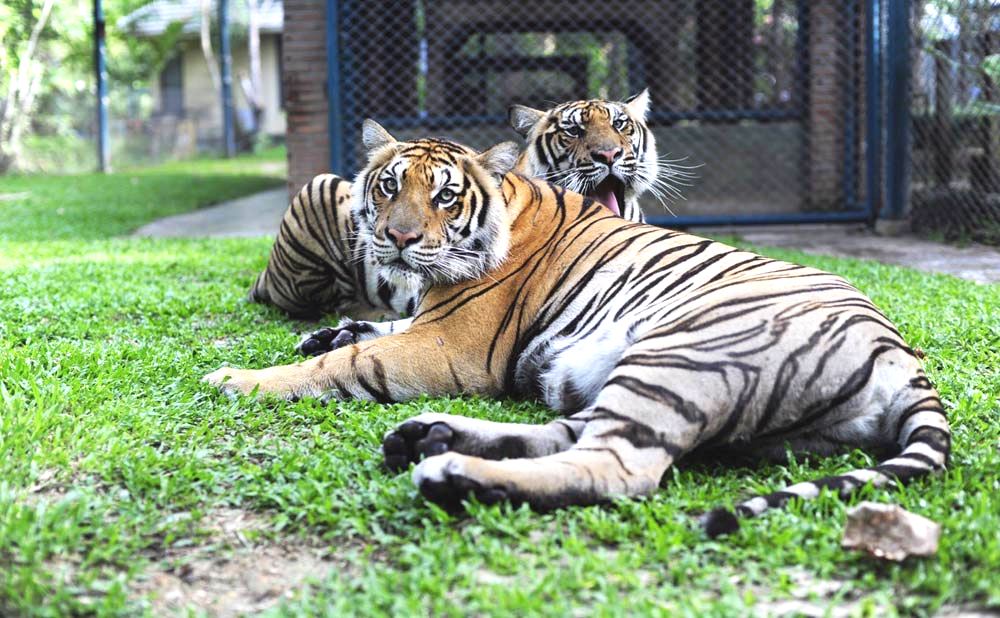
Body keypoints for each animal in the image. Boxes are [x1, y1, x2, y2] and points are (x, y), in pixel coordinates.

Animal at [201, 121, 944, 536]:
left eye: (444, 195)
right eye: (388, 186)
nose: (397, 239)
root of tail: (903, 357)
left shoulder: (448, 346)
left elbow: (346, 366)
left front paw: (238, 379)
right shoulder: (425, 320)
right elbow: (374, 328)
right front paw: (331, 331)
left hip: (681, 354)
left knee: (617, 466)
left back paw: (449, 471)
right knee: (576, 433)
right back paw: (429, 438)